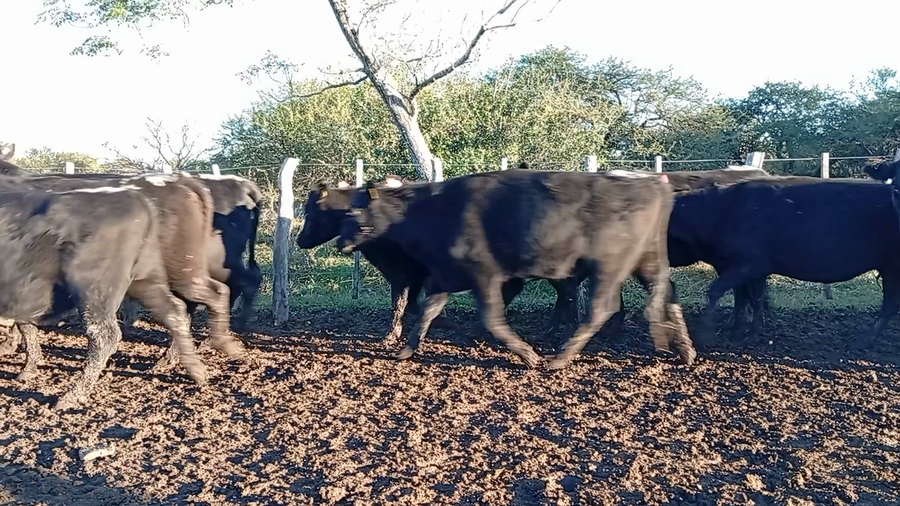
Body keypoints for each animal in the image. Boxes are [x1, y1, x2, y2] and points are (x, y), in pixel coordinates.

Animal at [0, 182, 207, 409]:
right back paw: (195, 370)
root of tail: (134, 197)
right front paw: (29, 368)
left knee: (104, 336)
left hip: (94, 291)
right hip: (146, 279)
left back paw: (72, 396)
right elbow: (26, 327)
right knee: (175, 313)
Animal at [336, 169, 696, 370]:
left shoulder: (485, 275)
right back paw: (686, 350)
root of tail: (653, 183)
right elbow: (428, 312)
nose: (340, 241)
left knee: (601, 308)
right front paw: (405, 350)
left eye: (353, 213)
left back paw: (558, 359)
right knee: (668, 292)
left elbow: (492, 319)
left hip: (609, 265)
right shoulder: (445, 275)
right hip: (646, 261)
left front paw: (529, 356)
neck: (430, 210)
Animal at [665, 175, 900, 348]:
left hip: (892, 266)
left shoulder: (749, 264)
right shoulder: (751, 269)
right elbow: (751, 297)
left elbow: (718, 291)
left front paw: (707, 336)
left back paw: (862, 341)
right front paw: (742, 331)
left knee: (890, 303)